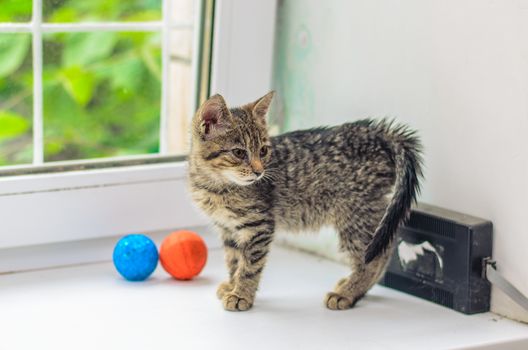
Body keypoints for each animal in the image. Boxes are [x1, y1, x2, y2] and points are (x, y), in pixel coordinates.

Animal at [188, 91, 422, 310]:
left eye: (263, 150)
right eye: (238, 152)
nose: (259, 171)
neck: (215, 186)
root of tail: (376, 132)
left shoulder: (259, 225)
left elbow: (250, 265)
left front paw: (241, 294)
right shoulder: (228, 228)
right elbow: (234, 260)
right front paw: (232, 284)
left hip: (355, 213)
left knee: (375, 256)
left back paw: (348, 293)